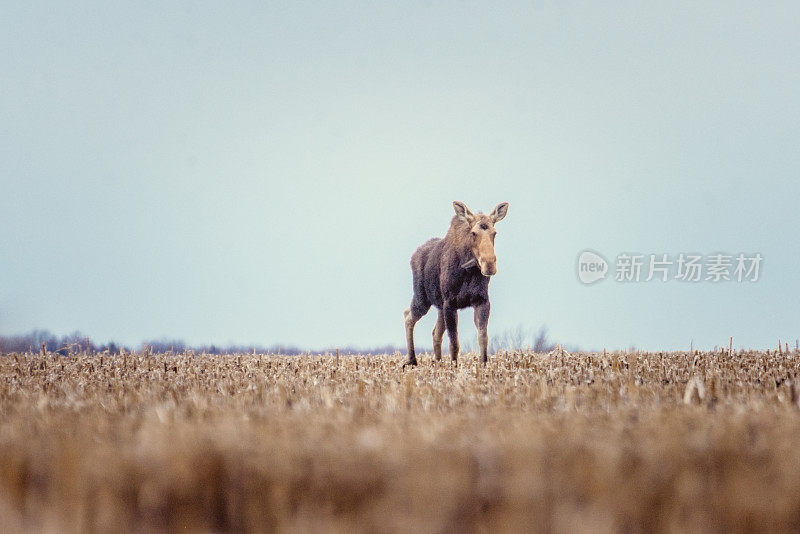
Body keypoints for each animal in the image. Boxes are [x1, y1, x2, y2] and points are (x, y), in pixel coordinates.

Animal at [404, 201, 510, 368]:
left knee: (435, 332)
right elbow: (454, 343)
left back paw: (438, 363)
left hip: (439, 306)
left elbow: (483, 339)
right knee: (408, 316)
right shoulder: (450, 303)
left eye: (495, 233)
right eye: (473, 233)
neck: (468, 270)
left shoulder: (482, 301)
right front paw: (453, 368)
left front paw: (483, 366)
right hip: (422, 298)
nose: (489, 265)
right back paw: (412, 360)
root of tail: (414, 255)